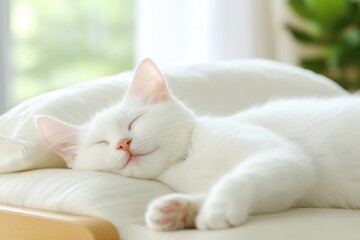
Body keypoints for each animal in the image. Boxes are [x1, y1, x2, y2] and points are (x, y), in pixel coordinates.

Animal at [35, 58, 360, 231]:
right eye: (101, 143)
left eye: (134, 122)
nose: (123, 143)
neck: (188, 159)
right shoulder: (286, 191)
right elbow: (264, 196)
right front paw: (180, 210)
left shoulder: (284, 158)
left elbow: (240, 178)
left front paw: (217, 208)